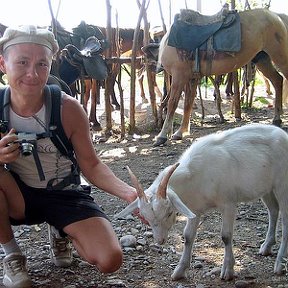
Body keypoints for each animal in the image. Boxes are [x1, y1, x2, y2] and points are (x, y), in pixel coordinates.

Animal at [117, 124, 288, 282]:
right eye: (145, 217)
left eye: (169, 212)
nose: (160, 241)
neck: (195, 174)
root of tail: (283, 134)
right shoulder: (195, 209)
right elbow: (188, 236)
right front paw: (179, 271)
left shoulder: (228, 203)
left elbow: (226, 236)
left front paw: (228, 271)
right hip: (266, 189)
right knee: (273, 210)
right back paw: (267, 246)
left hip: (282, 184)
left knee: (285, 219)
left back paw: (279, 265)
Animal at [154, 8, 288, 146]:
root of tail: (277, 16)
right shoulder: (191, 78)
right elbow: (188, 104)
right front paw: (181, 132)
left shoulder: (179, 76)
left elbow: (172, 104)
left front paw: (162, 136)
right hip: (262, 59)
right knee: (277, 80)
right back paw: (277, 119)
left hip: (279, 57)